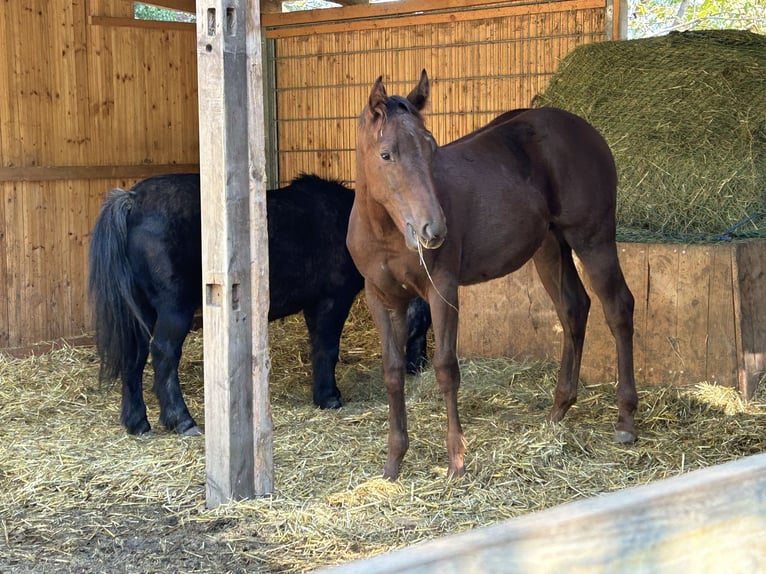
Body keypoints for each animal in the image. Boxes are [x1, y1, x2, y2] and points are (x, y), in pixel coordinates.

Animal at [88, 173, 431, 436]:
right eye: (425, 321)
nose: (419, 366)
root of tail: (132, 200)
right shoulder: (332, 300)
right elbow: (327, 348)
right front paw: (330, 397)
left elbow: (319, 348)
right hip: (174, 310)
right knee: (163, 354)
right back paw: (181, 420)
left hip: (142, 311)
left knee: (134, 357)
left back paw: (137, 423)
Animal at [347, 70, 637, 480]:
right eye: (386, 154)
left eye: (431, 148)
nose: (433, 230)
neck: (385, 230)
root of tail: (585, 129)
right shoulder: (382, 299)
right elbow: (392, 372)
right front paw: (393, 462)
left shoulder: (442, 291)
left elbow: (446, 368)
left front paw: (456, 460)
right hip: (551, 248)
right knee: (574, 308)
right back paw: (558, 409)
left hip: (593, 240)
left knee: (618, 309)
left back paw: (625, 421)